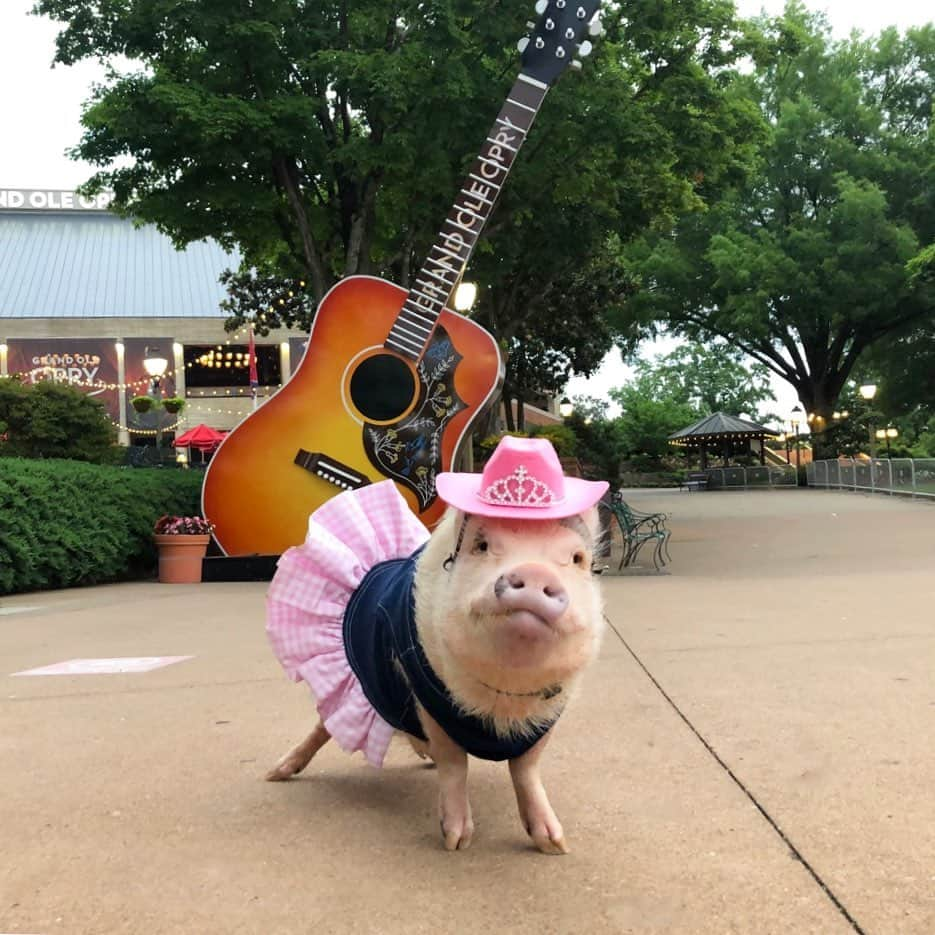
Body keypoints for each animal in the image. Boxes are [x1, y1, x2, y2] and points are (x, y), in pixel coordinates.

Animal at [266, 436, 612, 856]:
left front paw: (555, 845)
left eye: (576, 558)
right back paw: (275, 773)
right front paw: (455, 841)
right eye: (482, 545)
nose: (534, 571)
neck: (504, 698)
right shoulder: (426, 694)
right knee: (325, 724)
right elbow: (454, 763)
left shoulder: (549, 713)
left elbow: (526, 768)